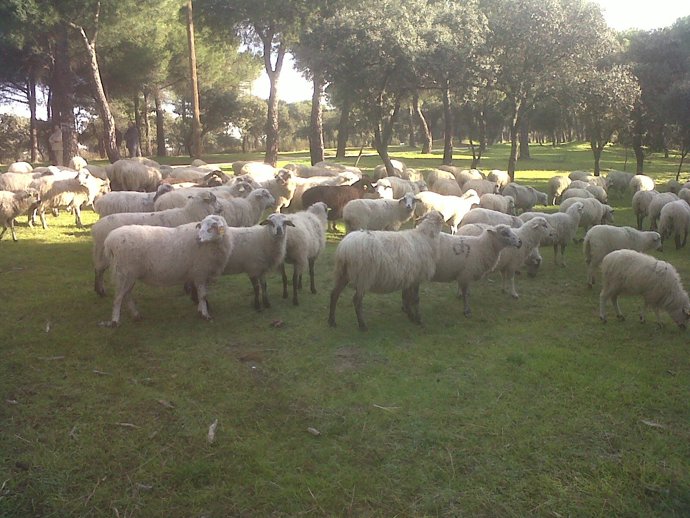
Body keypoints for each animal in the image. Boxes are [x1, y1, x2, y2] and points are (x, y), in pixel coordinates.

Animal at [92, 191, 224, 297]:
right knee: (99, 270)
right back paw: (101, 291)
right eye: (214, 199)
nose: (222, 208)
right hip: (105, 254)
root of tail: (96, 227)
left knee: (97, 268)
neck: (189, 214)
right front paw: (188, 288)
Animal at [100, 215, 233, 327]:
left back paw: (136, 315)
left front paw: (200, 310)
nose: (198, 238)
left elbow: (202, 295)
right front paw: (205, 315)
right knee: (118, 297)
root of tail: (110, 239)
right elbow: (203, 295)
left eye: (212, 227)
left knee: (126, 294)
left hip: (130, 274)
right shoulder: (200, 272)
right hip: (124, 271)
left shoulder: (201, 274)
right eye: (202, 226)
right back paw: (115, 321)